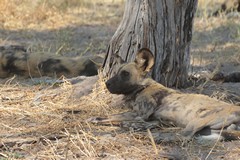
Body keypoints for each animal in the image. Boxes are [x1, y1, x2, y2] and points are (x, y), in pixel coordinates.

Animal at [88, 47, 240, 141]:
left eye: (125, 74)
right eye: (116, 72)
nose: (107, 83)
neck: (142, 87)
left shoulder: (140, 114)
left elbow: (111, 117)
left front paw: (96, 119)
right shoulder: (152, 118)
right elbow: (148, 122)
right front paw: (135, 126)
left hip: (198, 120)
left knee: (183, 136)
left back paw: (156, 138)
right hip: (211, 131)